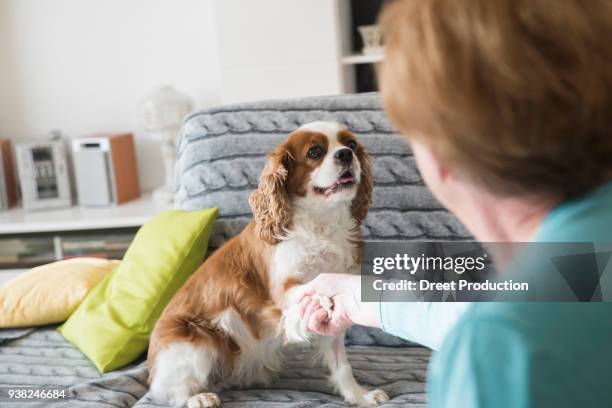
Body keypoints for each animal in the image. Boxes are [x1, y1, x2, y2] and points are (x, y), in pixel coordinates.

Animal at [148, 121, 388, 408]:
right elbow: (306, 290)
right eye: (315, 152)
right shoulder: (281, 290)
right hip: (199, 340)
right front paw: (322, 298)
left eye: (350, 144)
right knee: (171, 390)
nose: (345, 154)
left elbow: (342, 364)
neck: (322, 222)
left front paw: (359, 395)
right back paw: (197, 397)